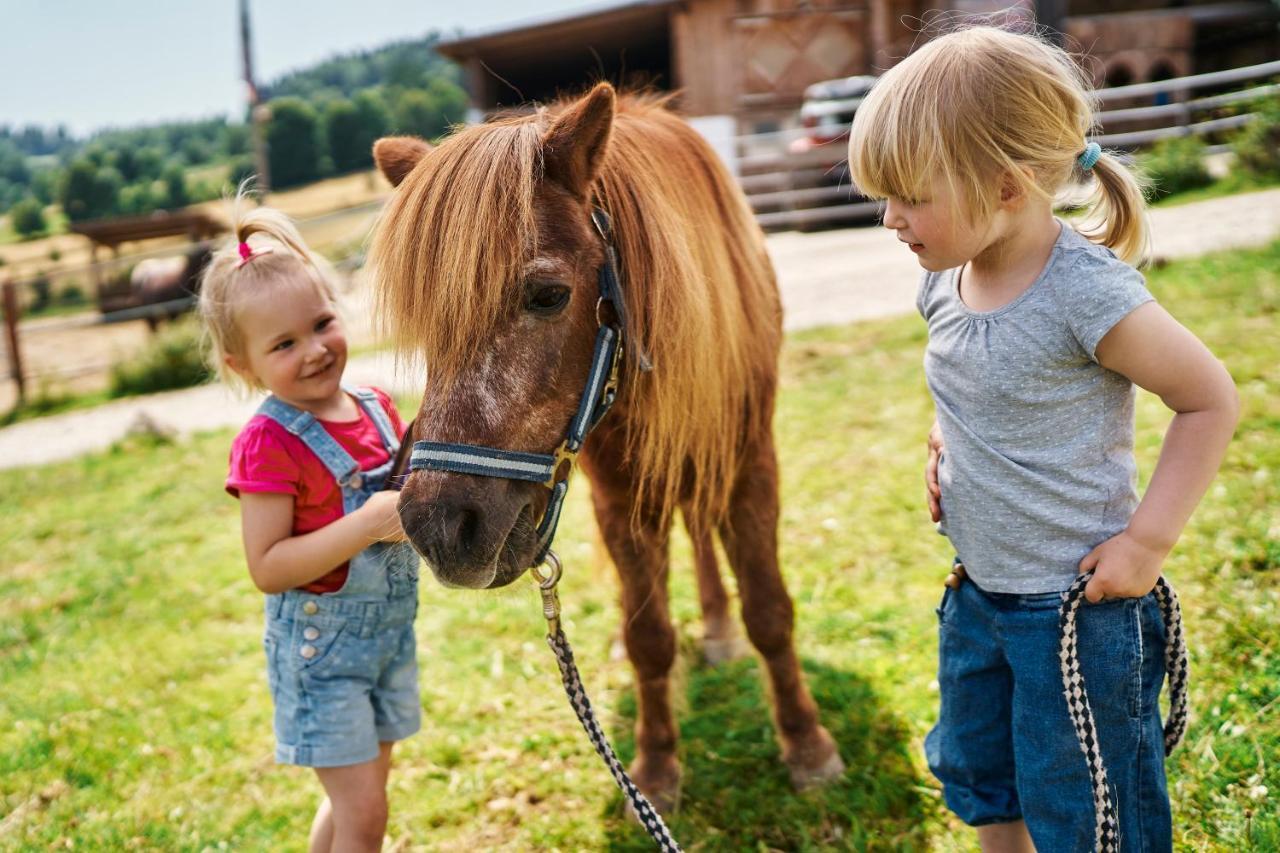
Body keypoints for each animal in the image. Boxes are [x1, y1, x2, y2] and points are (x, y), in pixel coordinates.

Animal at [371, 83, 844, 809]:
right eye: (426, 324)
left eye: (547, 295)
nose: (440, 526)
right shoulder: (617, 496)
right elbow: (648, 635)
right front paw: (654, 768)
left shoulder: (747, 466)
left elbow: (769, 610)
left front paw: (807, 745)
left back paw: (719, 630)